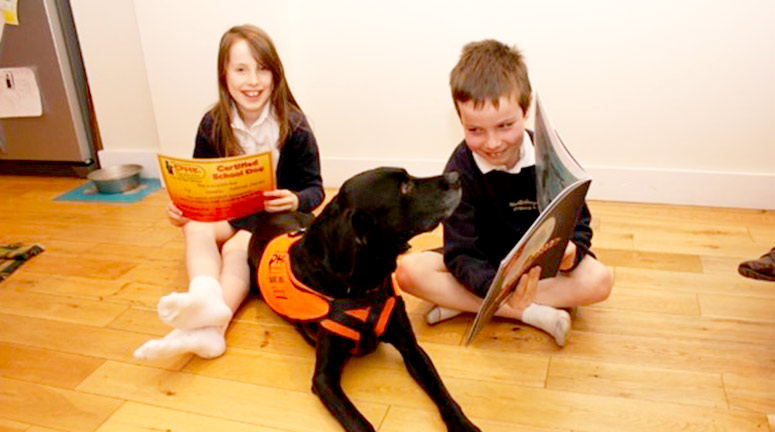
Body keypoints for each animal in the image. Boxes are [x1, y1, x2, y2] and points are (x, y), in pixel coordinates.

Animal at [249, 168, 478, 432]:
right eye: (404, 188)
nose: (456, 176)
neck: (364, 288)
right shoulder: (324, 379)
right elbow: (359, 423)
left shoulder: (411, 347)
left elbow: (442, 393)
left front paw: (463, 424)